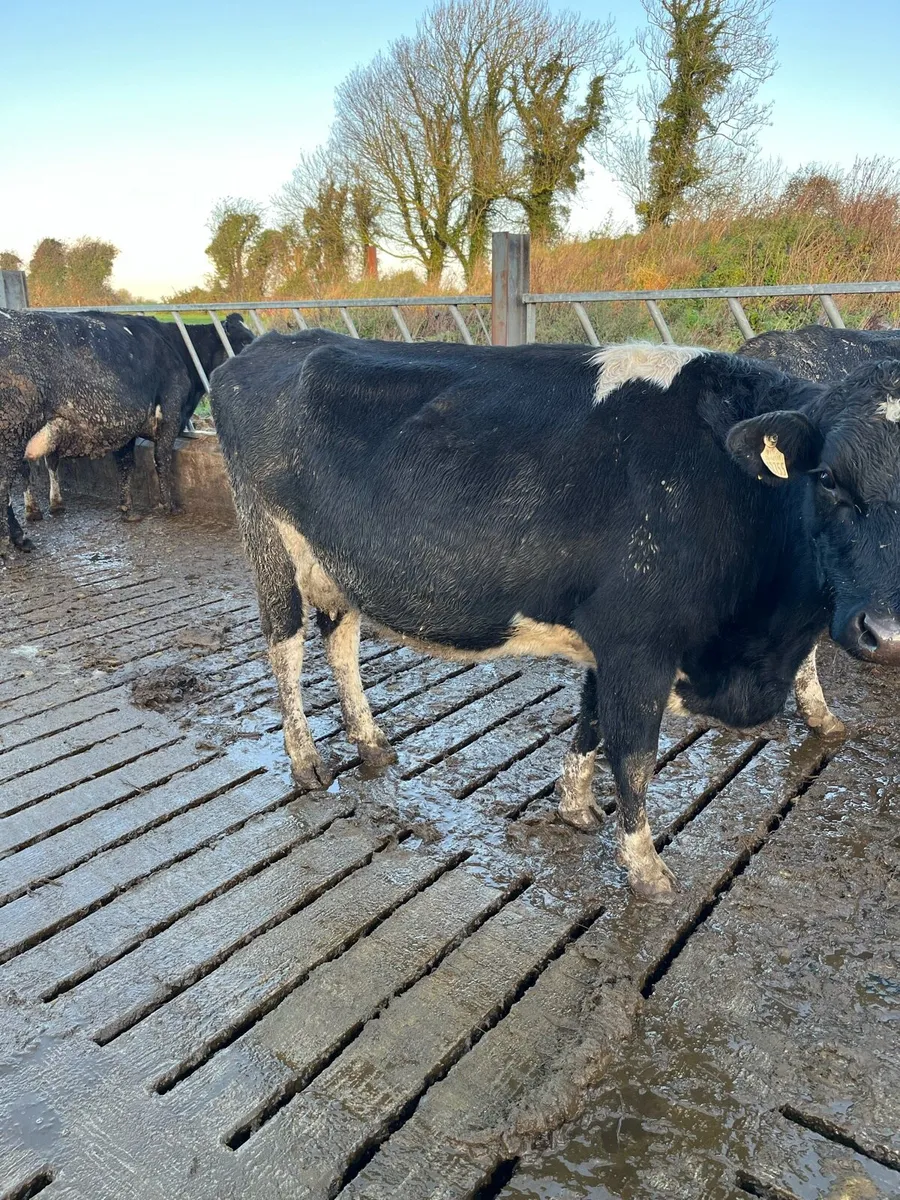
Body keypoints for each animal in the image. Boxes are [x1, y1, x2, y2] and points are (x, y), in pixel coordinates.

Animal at [0, 310, 253, 552]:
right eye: (243, 341)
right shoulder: (170, 412)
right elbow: (162, 458)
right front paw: (170, 506)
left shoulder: (125, 427)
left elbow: (125, 465)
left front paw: (127, 509)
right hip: (12, 437)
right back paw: (17, 537)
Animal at [209, 330, 900, 899]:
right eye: (827, 477)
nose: (887, 633)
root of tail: (272, 344)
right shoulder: (638, 643)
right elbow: (633, 754)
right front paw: (646, 870)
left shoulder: (611, 640)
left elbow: (589, 722)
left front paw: (575, 809)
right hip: (268, 540)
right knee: (285, 648)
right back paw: (306, 762)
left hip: (342, 566)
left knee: (342, 643)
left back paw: (372, 745)